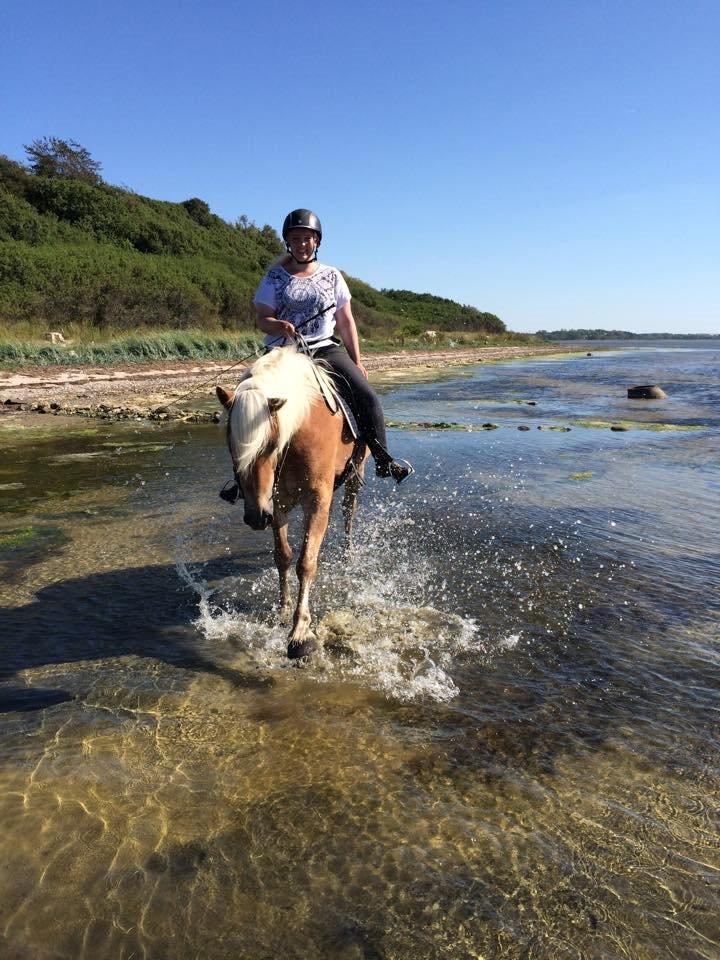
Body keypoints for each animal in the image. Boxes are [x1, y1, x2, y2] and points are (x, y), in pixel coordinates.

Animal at [217, 346, 366, 660]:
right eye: (231, 445)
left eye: (270, 444)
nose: (255, 517)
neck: (299, 431)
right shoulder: (277, 503)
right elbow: (283, 556)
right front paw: (283, 611)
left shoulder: (317, 502)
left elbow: (306, 563)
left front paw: (300, 633)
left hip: (355, 474)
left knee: (349, 511)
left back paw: (349, 554)